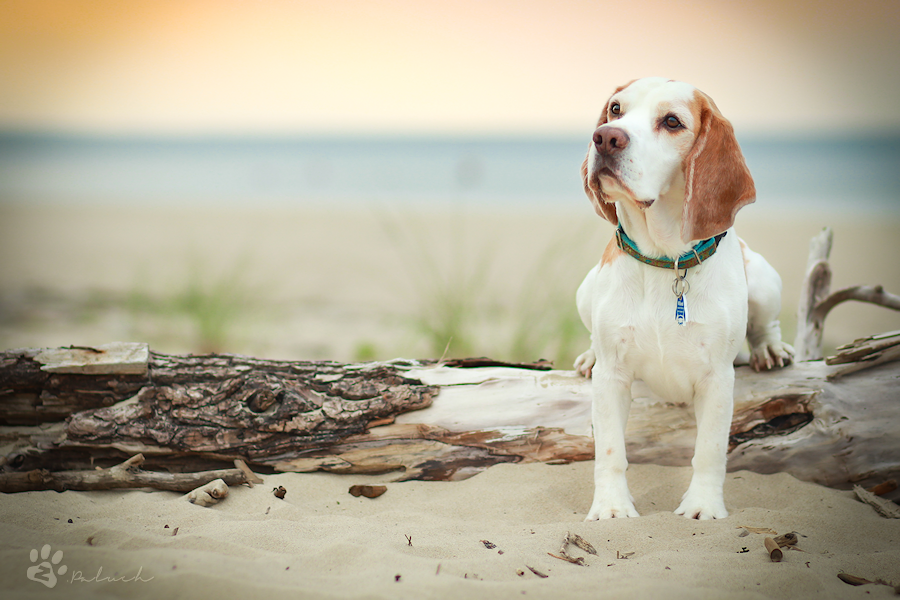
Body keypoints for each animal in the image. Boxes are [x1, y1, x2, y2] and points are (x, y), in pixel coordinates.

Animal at [572, 78, 792, 520]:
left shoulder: (717, 379)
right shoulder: (612, 378)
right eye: (615, 109)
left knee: (765, 325)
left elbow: (709, 450)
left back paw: (769, 349)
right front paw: (611, 507)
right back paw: (587, 355)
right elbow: (610, 450)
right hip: (586, 289)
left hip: (762, 278)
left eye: (672, 122)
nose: (605, 137)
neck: (665, 261)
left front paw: (703, 506)